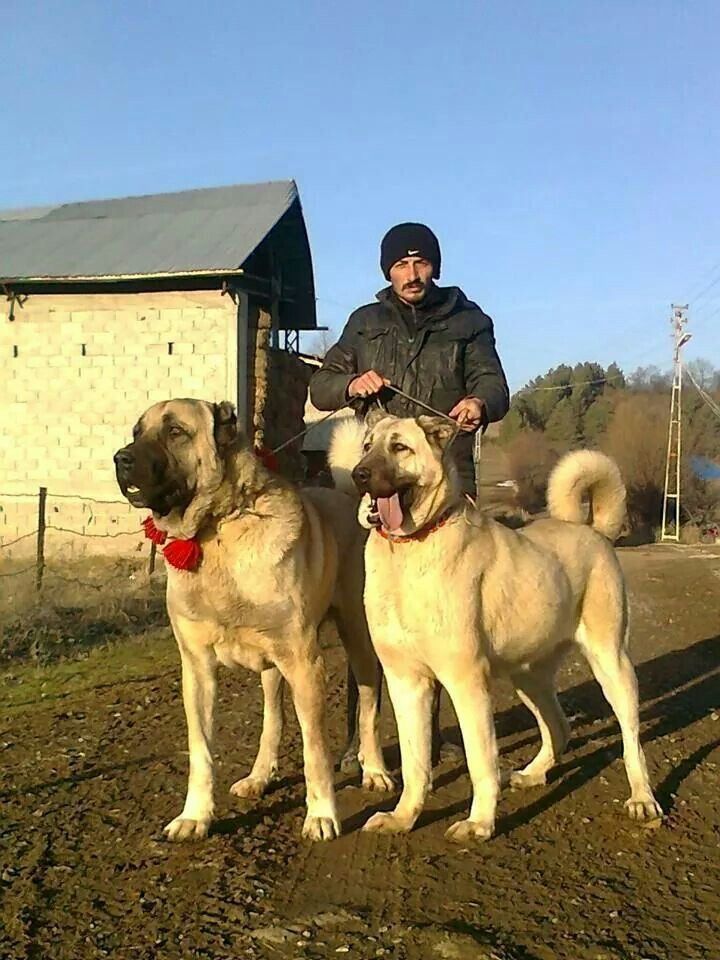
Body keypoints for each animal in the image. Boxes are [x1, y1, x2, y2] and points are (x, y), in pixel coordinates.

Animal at [114, 398, 390, 840]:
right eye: (137, 432)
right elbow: (201, 751)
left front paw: (321, 815)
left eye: (175, 432)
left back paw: (375, 770)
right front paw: (195, 816)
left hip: (358, 645)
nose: (120, 459)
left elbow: (315, 750)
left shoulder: (306, 664)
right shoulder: (197, 669)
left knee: (368, 708)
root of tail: (347, 498)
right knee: (272, 720)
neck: (218, 527)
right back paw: (260, 776)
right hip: (272, 667)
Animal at [330, 410, 660, 840]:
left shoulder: (466, 683)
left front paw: (479, 824)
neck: (411, 549)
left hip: (612, 664)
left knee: (631, 740)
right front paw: (403, 818)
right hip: (528, 676)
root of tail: (592, 531)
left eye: (399, 447)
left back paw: (642, 798)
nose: (359, 474)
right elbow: (415, 763)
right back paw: (534, 774)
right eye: (367, 446)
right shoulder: (406, 683)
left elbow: (481, 762)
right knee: (559, 726)